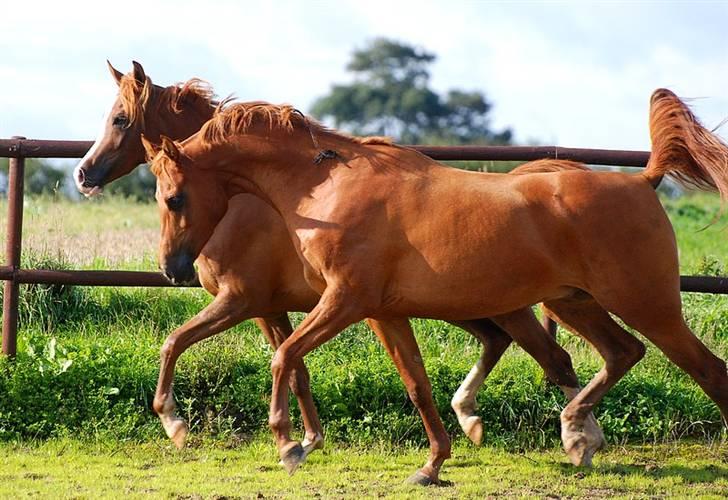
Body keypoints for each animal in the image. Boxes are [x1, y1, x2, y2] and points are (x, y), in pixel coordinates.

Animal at [74, 64, 600, 462]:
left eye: (120, 119)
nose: (83, 173)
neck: (253, 200)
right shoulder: (275, 308)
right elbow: (295, 368)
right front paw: (307, 440)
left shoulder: (244, 300)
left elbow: (177, 342)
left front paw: (177, 423)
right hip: (456, 304)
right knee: (501, 344)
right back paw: (475, 419)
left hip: (501, 305)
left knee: (555, 358)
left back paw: (575, 435)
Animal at [146, 90, 728, 484]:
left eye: (174, 197)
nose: (173, 268)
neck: (325, 187)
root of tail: (644, 180)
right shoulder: (382, 312)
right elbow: (417, 385)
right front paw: (432, 464)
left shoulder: (341, 301)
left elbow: (283, 356)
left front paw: (287, 445)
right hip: (576, 304)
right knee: (619, 353)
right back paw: (575, 434)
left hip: (647, 306)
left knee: (707, 371)